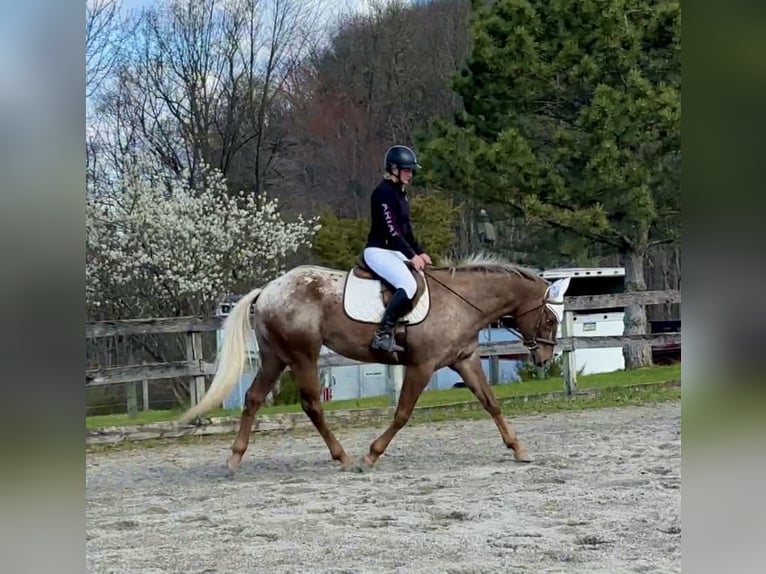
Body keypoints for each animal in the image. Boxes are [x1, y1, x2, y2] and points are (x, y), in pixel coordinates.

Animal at [179, 253, 571, 472]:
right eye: (549, 319)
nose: (544, 358)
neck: (462, 301)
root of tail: (269, 289)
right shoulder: (422, 366)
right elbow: (402, 413)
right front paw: (372, 455)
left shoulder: (465, 360)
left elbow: (491, 403)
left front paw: (518, 449)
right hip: (303, 355)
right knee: (311, 405)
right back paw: (344, 458)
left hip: (276, 356)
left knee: (254, 398)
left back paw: (235, 458)